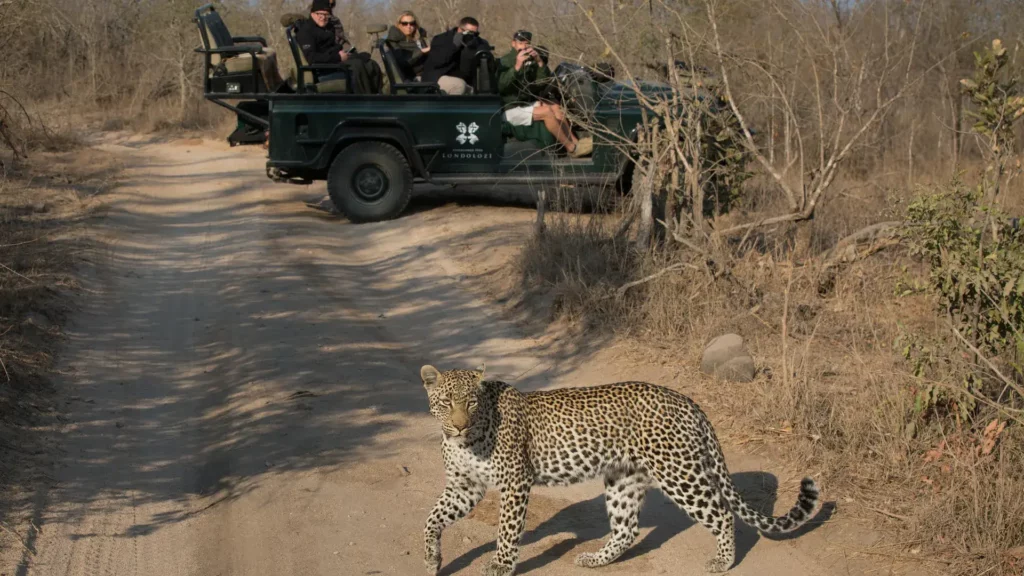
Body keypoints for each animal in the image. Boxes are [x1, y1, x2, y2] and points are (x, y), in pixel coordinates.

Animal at [420, 364, 822, 576]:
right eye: (446, 402)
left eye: (471, 402)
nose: (459, 426)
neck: (467, 440)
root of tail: (686, 400)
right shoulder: (464, 487)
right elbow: (432, 519)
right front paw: (432, 558)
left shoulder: (515, 483)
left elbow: (506, 530)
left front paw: (501, 565)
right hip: (623, 479)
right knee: (627, 528)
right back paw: (595, 559)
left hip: (679, 472)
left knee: (721, 513)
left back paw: (722, 562)